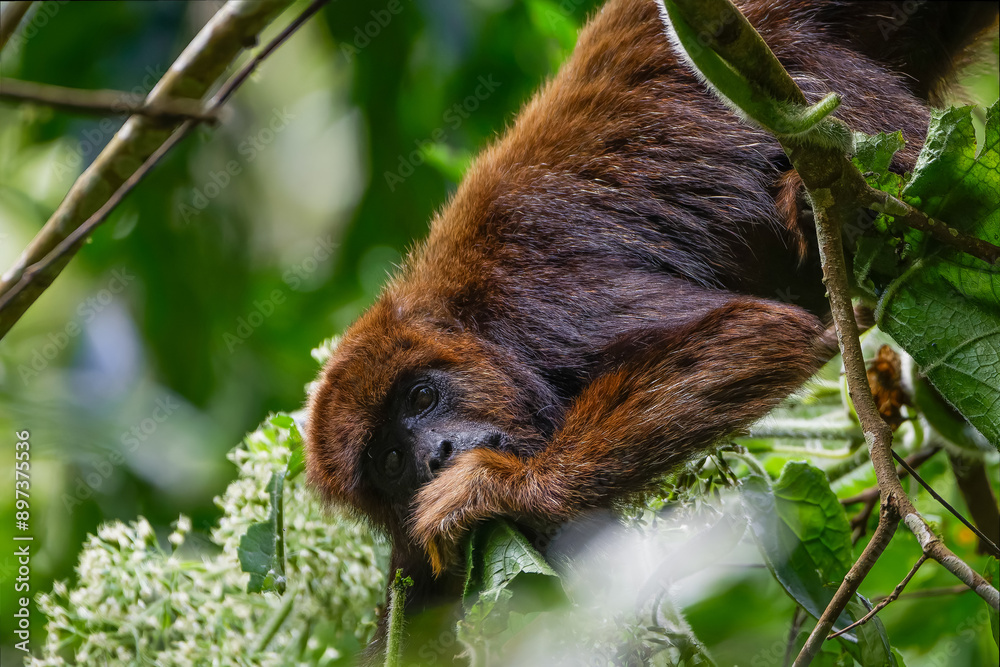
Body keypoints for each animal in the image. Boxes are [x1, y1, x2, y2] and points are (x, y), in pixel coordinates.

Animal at [305, 0, 998, 649]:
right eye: (392, 460)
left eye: (422, 397)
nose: (437, 455)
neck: (471, 324)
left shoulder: (540, 301)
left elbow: (751, 331)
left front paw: (498, 486)